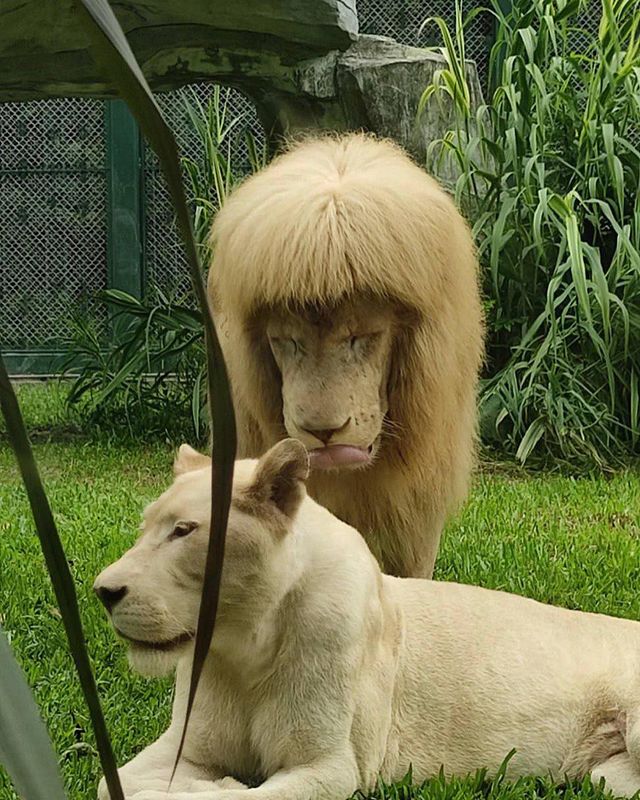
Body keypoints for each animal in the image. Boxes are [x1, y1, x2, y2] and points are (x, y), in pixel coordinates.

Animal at [95, 439, 640, 800]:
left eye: (184, 530)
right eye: (145, 527)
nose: (103, 591)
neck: (244, 647)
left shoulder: (335, 768)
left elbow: (232, 796)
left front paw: (216, 785)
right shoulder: (187, 746)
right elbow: (110, 782)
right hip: (606, 778)